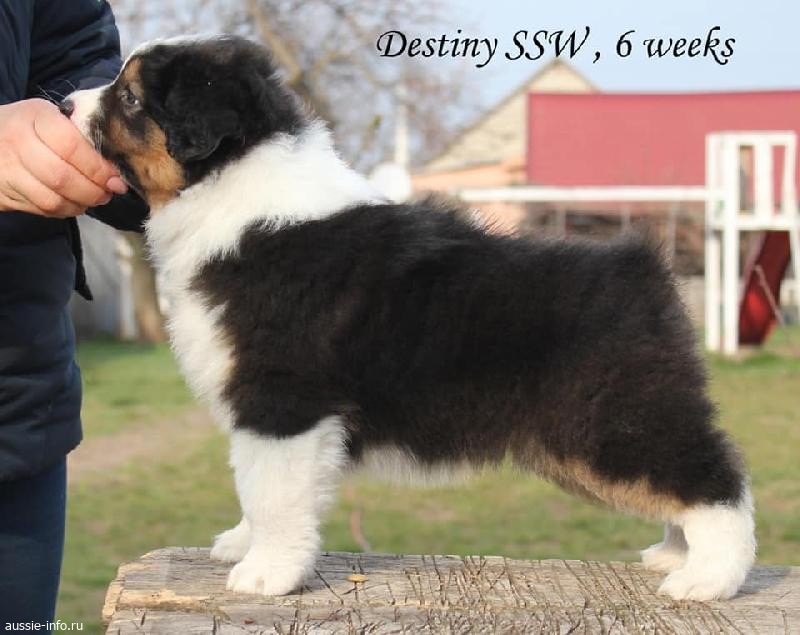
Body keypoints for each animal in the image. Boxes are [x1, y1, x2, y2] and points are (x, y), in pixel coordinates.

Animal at [65, 35, 755, 600]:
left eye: (129, 96)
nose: (66, 104)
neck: (236, 194)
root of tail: (643, 269)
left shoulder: (283, 401)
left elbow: (274, 490)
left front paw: (266, 574)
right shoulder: (267, 411)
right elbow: (255, 485)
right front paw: (243, 543)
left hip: (613, 416)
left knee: (714, 482)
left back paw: (707, 579)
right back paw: (673, 555)